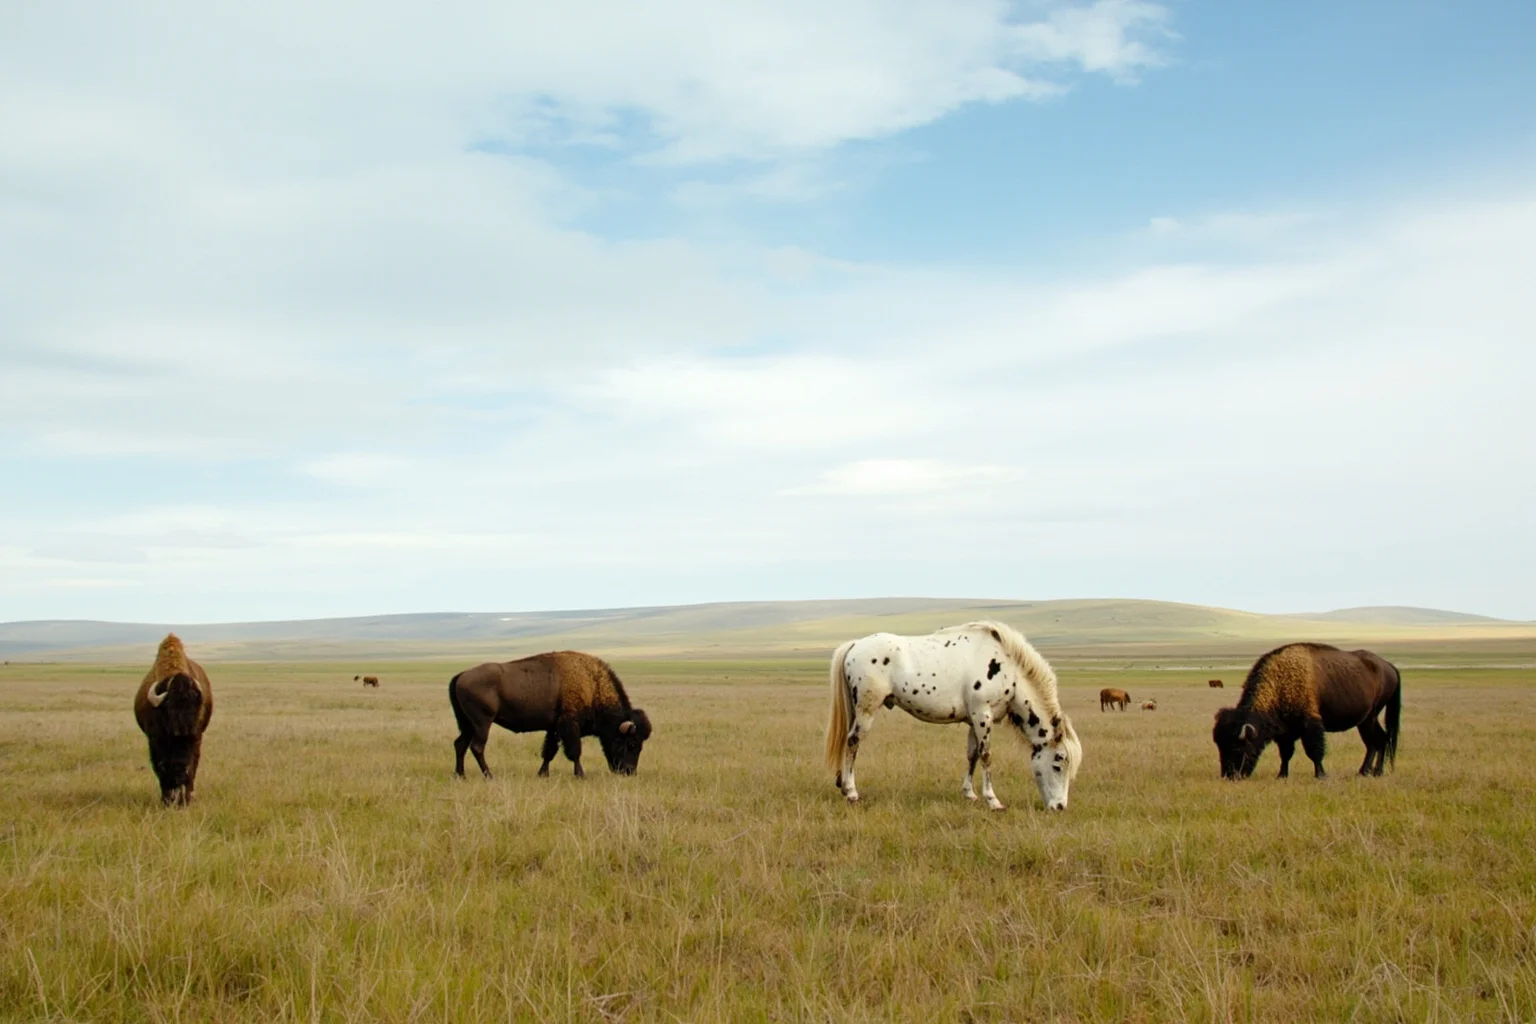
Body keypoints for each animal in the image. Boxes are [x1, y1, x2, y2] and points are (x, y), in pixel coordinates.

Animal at [133, 634, 213, 806]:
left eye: (195, 703)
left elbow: (192, 767)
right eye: (169, 704)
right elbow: (161, 768)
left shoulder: (195, 739)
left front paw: (185, 801)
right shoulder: (155, 741)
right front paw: (166, 801)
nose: (184, 729)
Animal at [449, 651, 653, 779]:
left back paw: (461, 775)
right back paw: (489, 775)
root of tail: (461, 675)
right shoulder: (568, 726)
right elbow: (574, 751)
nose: (629, 772)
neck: (592, 685)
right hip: (482, 723)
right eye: (632, 744)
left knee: (460, 744)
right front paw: (581, 774)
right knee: (477, 747)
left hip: (467, 724)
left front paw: (543, 774)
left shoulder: (553, 729)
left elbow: (549, 752)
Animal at [824, 621, 1081, 811]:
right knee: (853, 742)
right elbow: (986, 755)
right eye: (1058, 763)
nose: (1060, 807)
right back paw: (851, 792)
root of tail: (855, 644)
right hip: (867, 709)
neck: (1008, 667)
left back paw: (843, 785)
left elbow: (972, 755)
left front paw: (969, 793)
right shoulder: (983, 714)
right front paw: (993, 800)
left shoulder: (974, 720)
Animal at [1213, 643, 1402, 780]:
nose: (1229, 776)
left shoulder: (1310, 724)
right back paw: (1366, 772)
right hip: (1366, 720)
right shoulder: (1285, 731)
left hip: (1370, 718)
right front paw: (1281, 775)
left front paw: (1321, 775)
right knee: (1377, 741)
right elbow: (1286, 754)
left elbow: (1314, 751)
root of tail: (1389, 666)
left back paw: (1374, 772)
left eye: (1236, 747)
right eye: (1220, 746)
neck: (1280, 682)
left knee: (1378, 740)